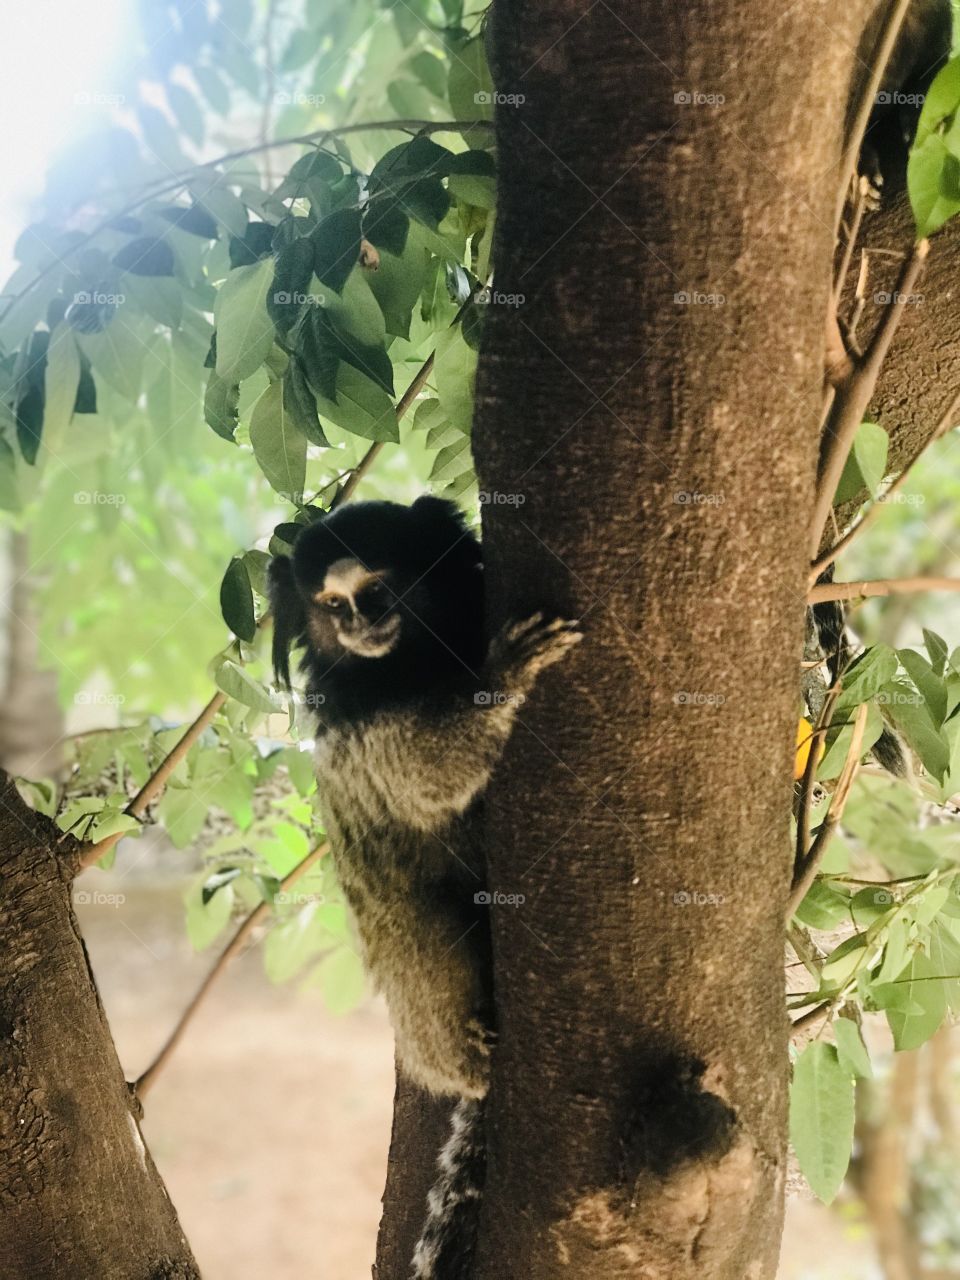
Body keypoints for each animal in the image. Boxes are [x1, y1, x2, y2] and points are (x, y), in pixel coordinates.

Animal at [268, 495, 582, 1278]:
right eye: (330, 605)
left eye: (377, 591)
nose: (358, 623)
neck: (418, 657)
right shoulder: (358, 726)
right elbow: (425, 771)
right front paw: (505, 673)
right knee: (421, 935)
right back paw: (472, 1046)